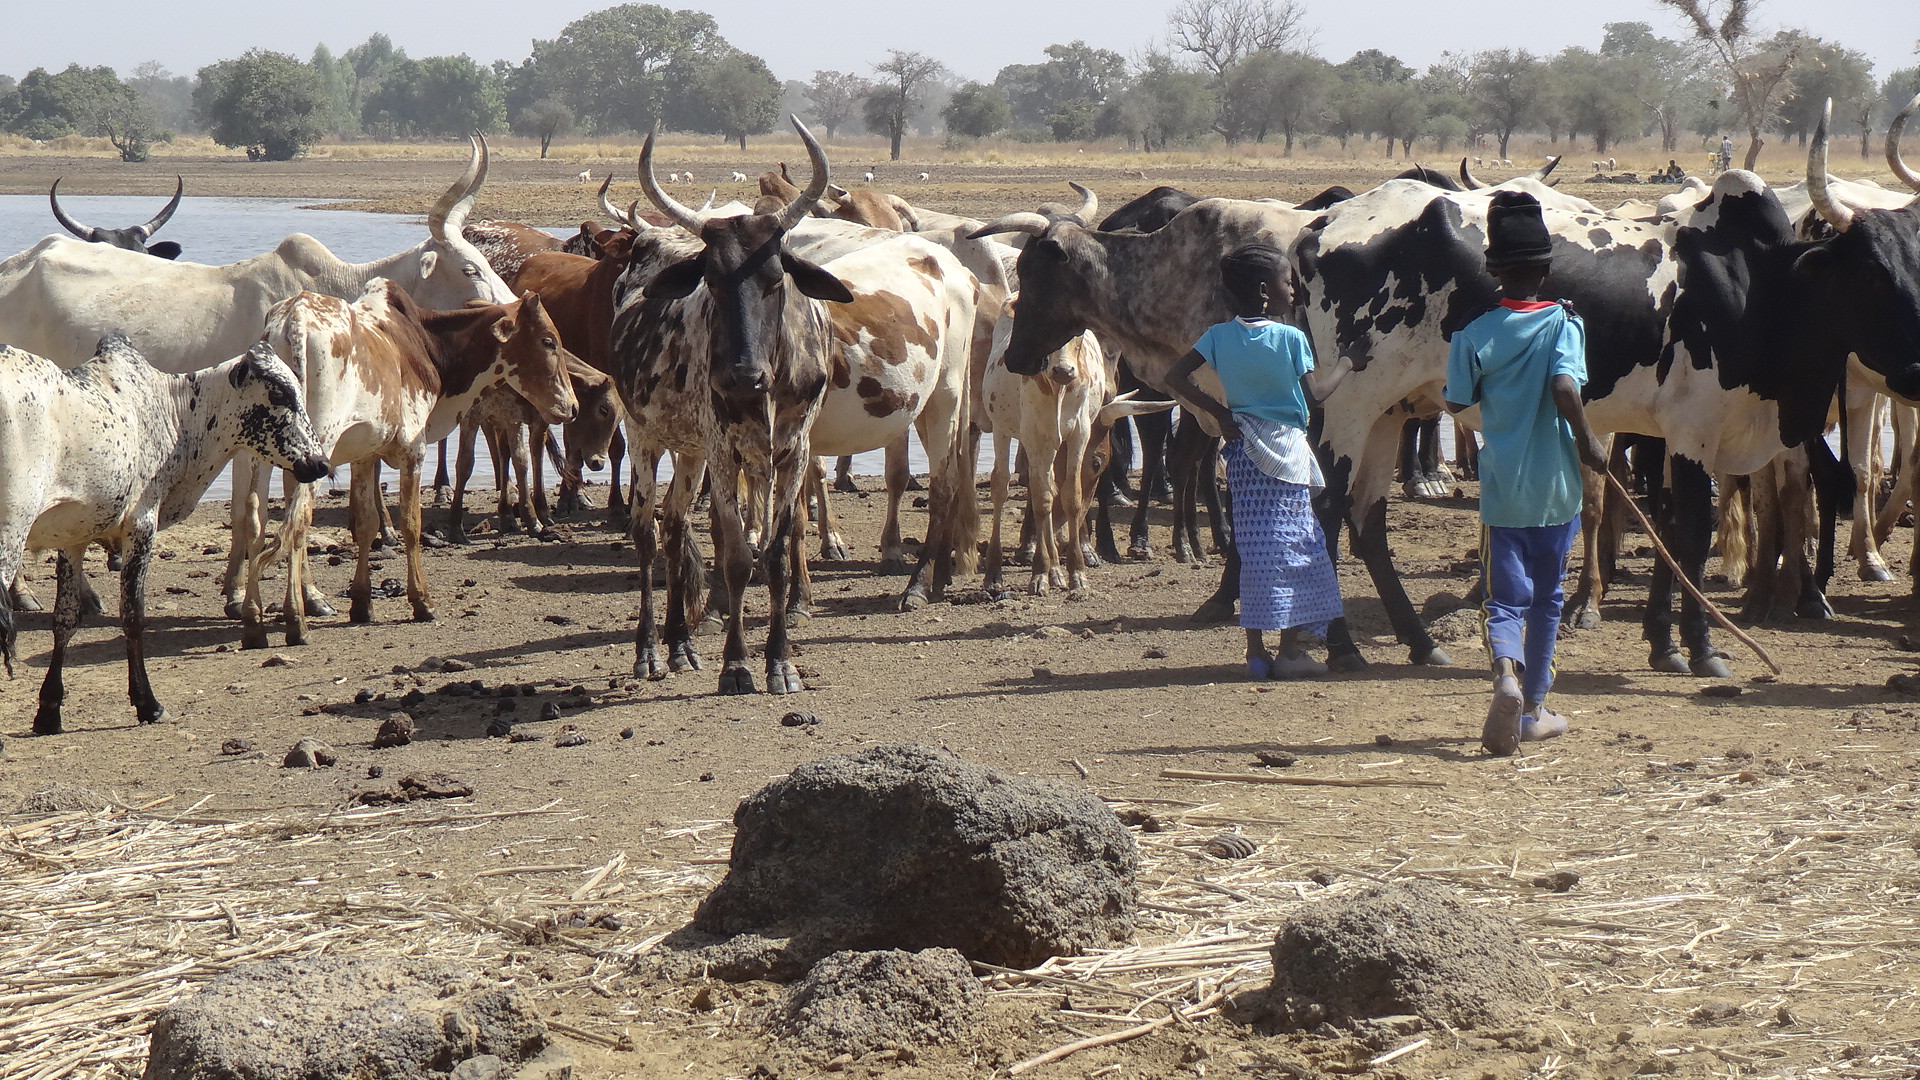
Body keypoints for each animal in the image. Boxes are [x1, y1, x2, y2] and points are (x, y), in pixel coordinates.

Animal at [0, 336, 328, 734]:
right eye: (279, 393)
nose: (321, 462)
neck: (173, 412)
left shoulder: (74, 537)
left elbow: (65, 618)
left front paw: (48, 711)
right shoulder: (141, 525)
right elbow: (133, 615)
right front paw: (148, 704)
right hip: (11, 532)